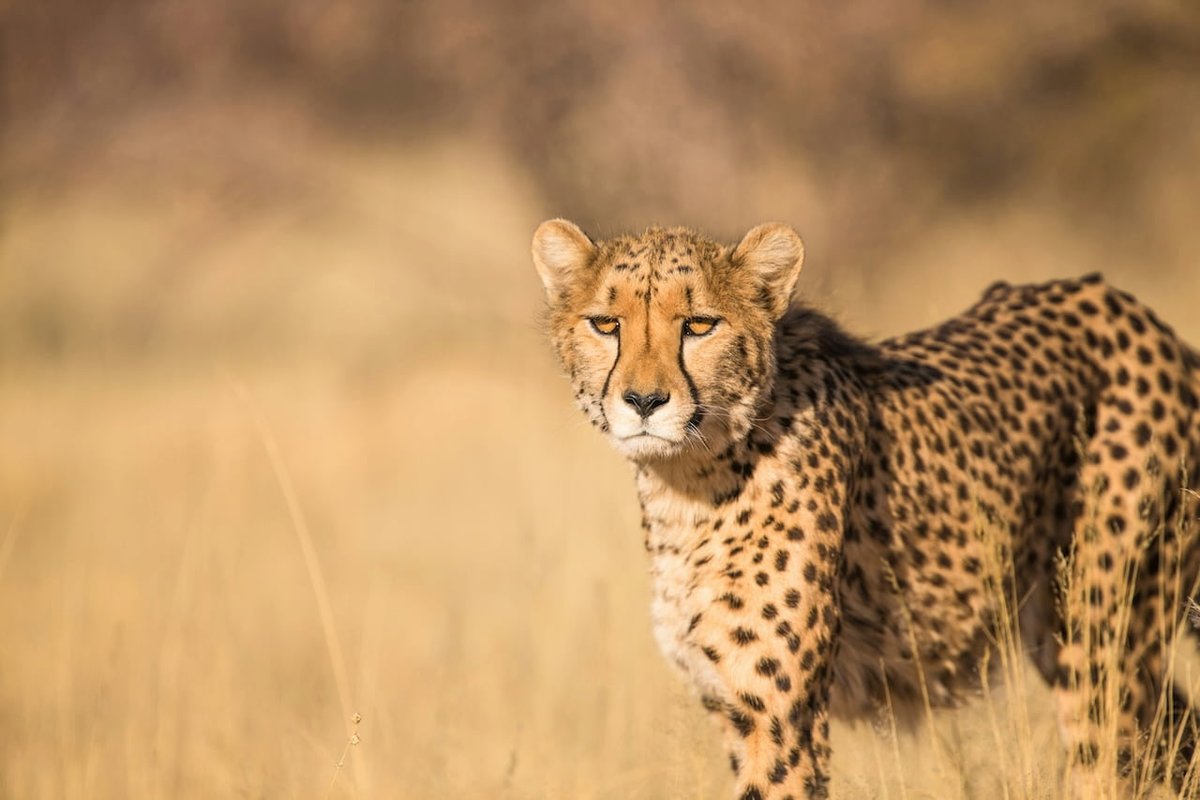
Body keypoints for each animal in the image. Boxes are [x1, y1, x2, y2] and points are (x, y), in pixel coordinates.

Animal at [530, 219, 1200, 799]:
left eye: (699, 325)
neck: (689, 482)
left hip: (1102, 644)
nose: (643, 401)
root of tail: (1131, 309)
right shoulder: (732, 705)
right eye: (605, 323)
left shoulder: (781, 717)